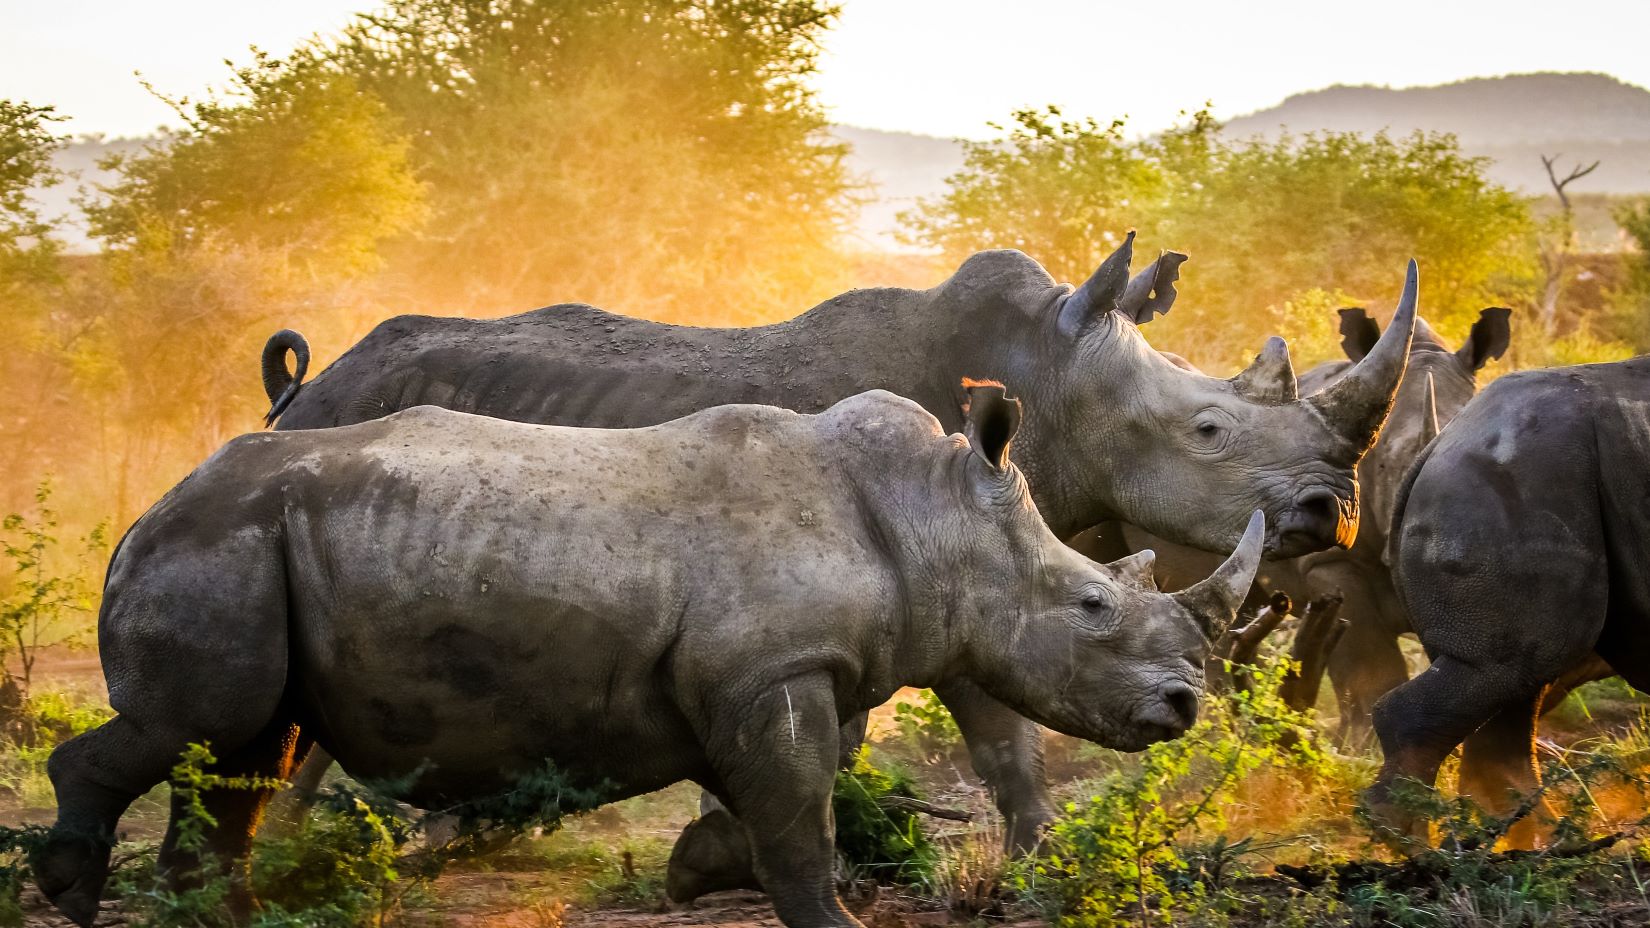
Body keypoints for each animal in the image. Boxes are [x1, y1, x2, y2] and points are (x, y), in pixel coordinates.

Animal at [32, 384, 1260, 924]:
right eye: (1093, 604)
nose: (1182, 707)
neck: (931, 517)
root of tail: (142, 516)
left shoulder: (786, 668)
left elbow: (789, 803)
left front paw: (698, 871)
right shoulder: (774, 669)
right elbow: (802, 824)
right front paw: (829, 920)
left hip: (253, 549)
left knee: (244, 749)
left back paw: (215, 914)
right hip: (219, 545)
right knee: (196, 729)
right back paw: (71, 894)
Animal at [257, 234, 1419, 858]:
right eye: (1210, 431)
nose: (1331, 511)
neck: (1047, 380)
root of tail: (304, 388)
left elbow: (994, 734)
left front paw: (1030, 854)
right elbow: (965, 722)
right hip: (350, 439)